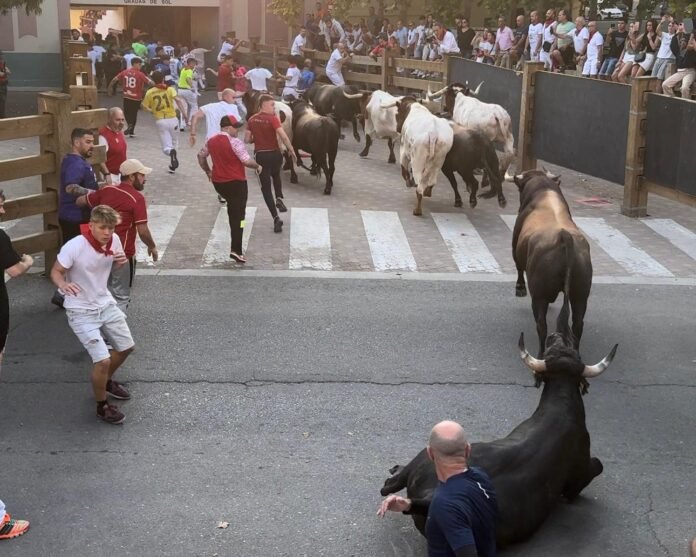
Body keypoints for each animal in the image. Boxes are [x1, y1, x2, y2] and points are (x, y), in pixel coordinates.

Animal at [378, 332, 616, 544]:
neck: (561, 402)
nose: (555, 334)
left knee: (389, 485)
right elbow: (596, 467)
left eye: (573, 350)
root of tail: (429, 496)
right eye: (551, 349)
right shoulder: (582, 470)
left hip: (423, 457)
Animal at [512, 169, 592, 358]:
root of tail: (564, 237)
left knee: (542, 325)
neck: (544, 192)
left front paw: (520, 289)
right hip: (580, 295)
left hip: (539, 296)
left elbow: (518, 266)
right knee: (578, 324)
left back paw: (541, 354)